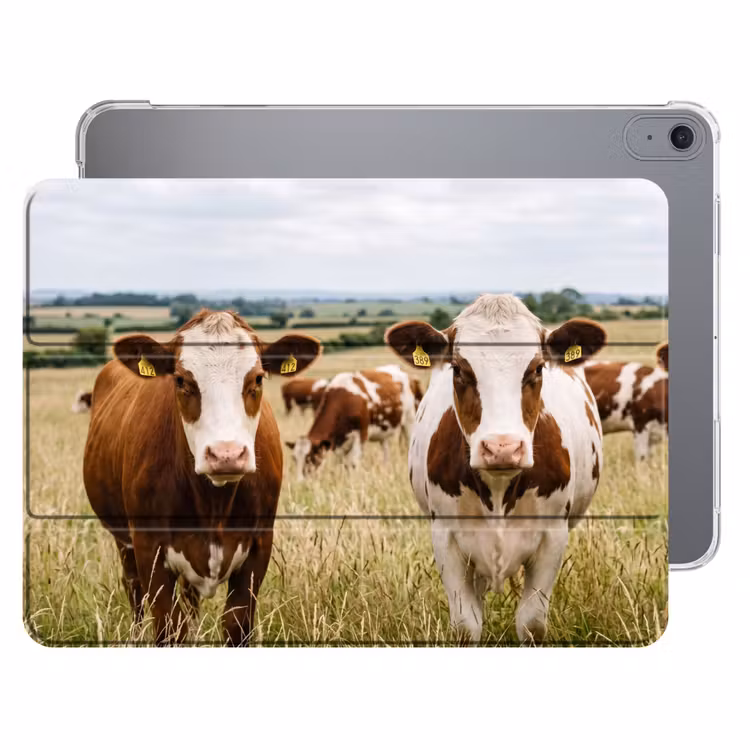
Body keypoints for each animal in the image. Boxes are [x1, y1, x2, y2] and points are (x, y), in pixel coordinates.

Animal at [82, 310, 321, 645]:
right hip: (124, 542)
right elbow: (168, 626)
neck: (213, 504)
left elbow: (236, 624)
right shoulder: (148, 548)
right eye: (181, 380)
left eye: (258, 378)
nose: (226, 454)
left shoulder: (259, 545)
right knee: (134, 593)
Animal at [286, 364, 417, 480]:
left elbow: (353, 463)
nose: (300, 482)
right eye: (294, 458)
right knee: (386, 452)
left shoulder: (362, 434)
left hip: (409, 420)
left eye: (310, 457)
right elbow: (342, 464)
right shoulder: (338, 443)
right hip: (384, 432)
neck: (343, 399)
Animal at [385, 294, 606, 643]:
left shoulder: (552, 536)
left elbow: (531, 623)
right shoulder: (446, 537)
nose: (503, 447)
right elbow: (466, 624)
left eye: (537, 368)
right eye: (459, 369)